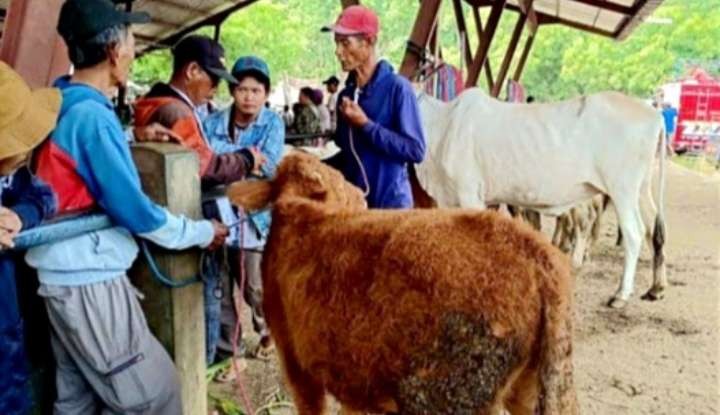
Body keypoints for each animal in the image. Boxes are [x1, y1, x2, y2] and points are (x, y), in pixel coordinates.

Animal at [416, 88, 668, 308]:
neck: (443, 125)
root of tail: (654, 114)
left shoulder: (470, 194)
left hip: (622, 189)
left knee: (633, 233)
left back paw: (620, 295)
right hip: (641, 189)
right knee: (653, 231)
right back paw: (656, 288)